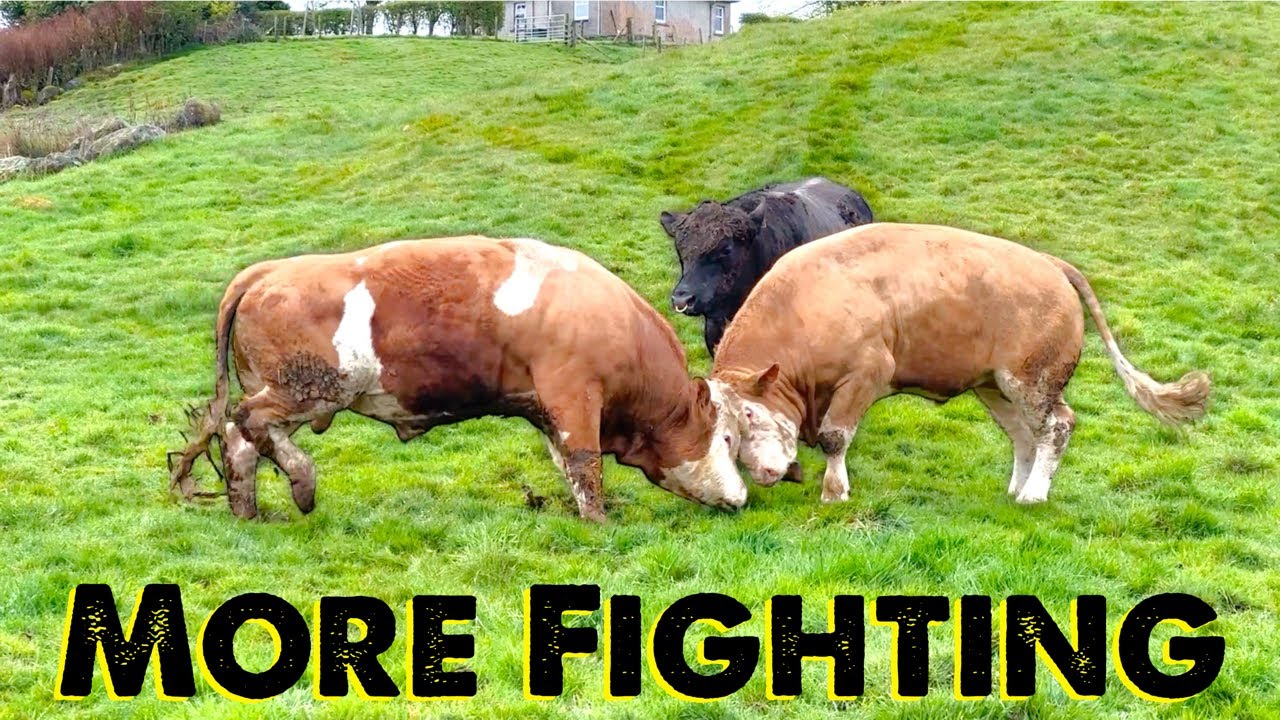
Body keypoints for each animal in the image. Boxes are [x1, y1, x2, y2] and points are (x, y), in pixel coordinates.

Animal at [167, 236, 747, 523]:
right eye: (725, 438)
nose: (743, 497)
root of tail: (266, 271)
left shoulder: (546, 408)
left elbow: (566, 462)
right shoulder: (574, 394)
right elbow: (585, 463)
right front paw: (600, 523)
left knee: (243, 439)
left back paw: (251, 511)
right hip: (310, 388)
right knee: (246, 424)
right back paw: (301, 484)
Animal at [710, 223, 1210, 506]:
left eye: (750, 412)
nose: (763, 475)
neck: (804, 305)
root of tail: (1048, 263)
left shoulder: (865, 376)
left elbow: (836, 438)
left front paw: (835, 492)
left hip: (1031, 381)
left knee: (1057, 427)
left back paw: (1034, 494)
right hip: (994, 387)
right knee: (1023, 435)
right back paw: (1016, 488)